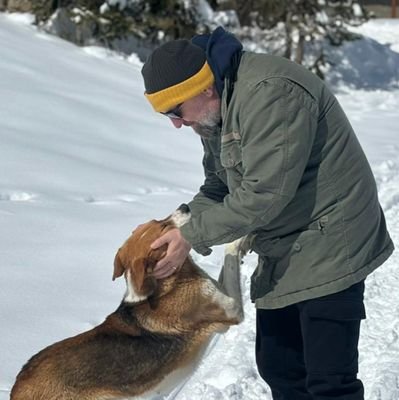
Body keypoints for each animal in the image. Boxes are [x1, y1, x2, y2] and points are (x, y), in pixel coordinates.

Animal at [10, 206, 244, 400]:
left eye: (157, 220)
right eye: (164, 226)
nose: (185, 206)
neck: (166, 284)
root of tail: (18, 390)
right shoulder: (232, 309)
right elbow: (230, 258)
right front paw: (240, 239)